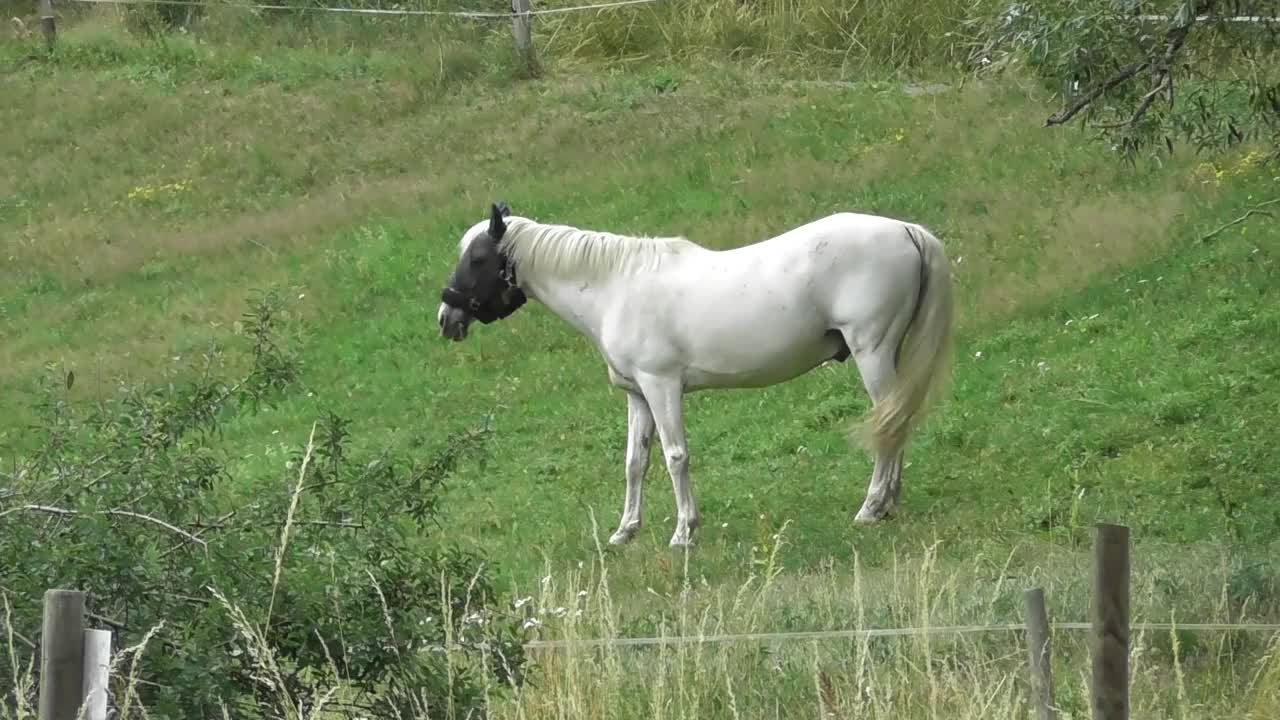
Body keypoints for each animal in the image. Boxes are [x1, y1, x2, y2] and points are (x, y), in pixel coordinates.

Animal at [437, 202, 952, 543]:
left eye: (478, 258)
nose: (447, 318)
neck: (613, 288)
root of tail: (906, 230)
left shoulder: (662, 386)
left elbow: (675, 456)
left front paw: (684, 532)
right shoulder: (638, 395)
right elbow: (635, 462)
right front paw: (625, 531)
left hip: (872, 351)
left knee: (889, 425)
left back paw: (871, 507)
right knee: (894, 424)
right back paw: (888, 504)